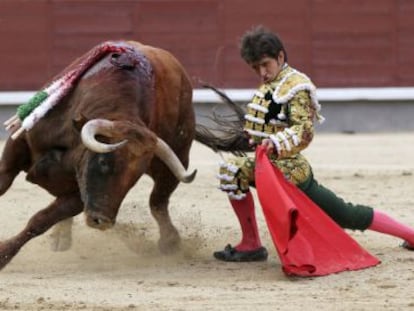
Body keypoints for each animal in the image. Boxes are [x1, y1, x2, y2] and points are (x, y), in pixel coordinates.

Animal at [0, 41, 204, 270]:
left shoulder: (78, 197)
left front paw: (2, 255)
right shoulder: (14, 151)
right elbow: (4, 183)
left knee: (158, 202)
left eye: (135, 178)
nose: (102, 222)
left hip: (178, 158)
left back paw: (169, 242)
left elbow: (40, 220)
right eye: (104, 162)